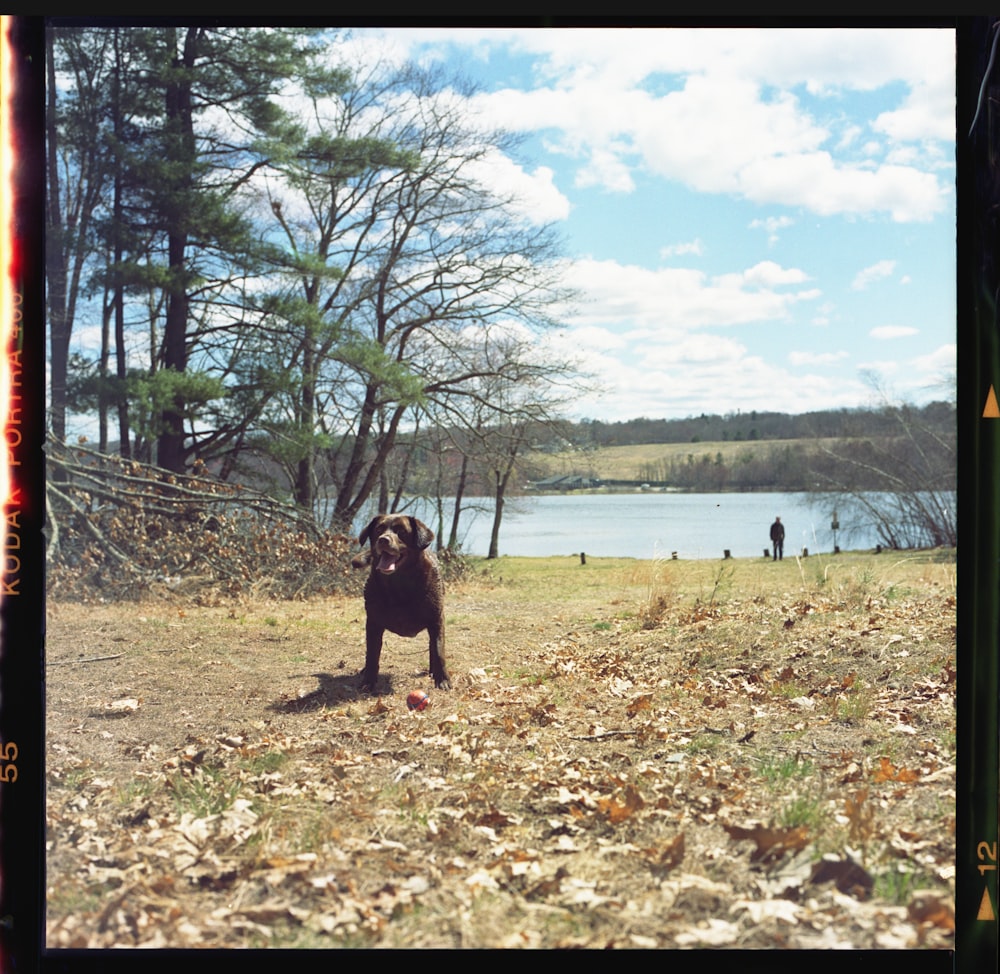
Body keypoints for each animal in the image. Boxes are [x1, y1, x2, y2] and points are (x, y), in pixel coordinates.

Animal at [356, 520, 450, 692]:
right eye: (378, 530)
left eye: (401, 531)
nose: (383, 540)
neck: (399, 585)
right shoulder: (373, 623)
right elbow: (372, 653)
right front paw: (368, 681)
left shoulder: (437, 620)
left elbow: (439, 650)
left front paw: (443, 679)